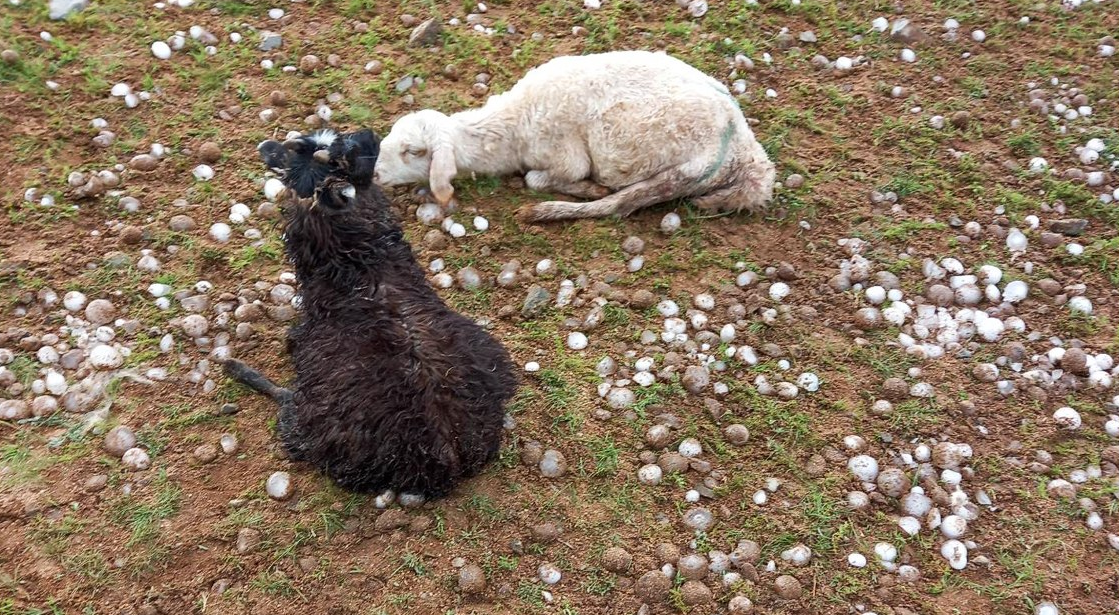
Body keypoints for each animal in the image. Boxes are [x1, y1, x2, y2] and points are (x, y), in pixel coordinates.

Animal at [228, 128, 523, 498]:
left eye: (296, 154)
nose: (263, 147)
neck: (364, 267)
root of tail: (446, 454)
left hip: (310, 425)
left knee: (286, 410)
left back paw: (240, 370)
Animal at [371, 50, 774, 224]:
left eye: (412, 151)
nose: (373, 174)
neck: (514, 125)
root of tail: (746, 154)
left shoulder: (565, 157)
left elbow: (536, 179)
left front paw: (581, 187)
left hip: (686, 171)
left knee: (620, 205)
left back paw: (547, 210)